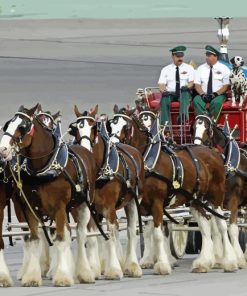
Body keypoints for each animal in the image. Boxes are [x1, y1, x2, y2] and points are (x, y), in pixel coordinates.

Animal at [0, 104, 97, 286]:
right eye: (7, 125)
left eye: (22, 126)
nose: (3, 149)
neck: (44, 168)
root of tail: (84, 150)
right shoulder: (30, 208)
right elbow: (34, 239)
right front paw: (32, 276)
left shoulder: (59, 207)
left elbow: (60, 239)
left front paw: (62, 276)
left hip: (82, 205)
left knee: (81, 235)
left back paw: (84, 273)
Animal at [69, 104, 146, 280]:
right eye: (75, 129)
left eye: (94, 128)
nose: (84, 149)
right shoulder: (85, 207)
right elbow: (91, 235)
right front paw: (92, 268)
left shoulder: (108, 206)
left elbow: (110, 234)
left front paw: (114, 269)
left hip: (133, 201)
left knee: (130, 231)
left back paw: (132, 265)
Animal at [110, 105, 239, 274]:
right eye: (110, 125)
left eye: (126, 126)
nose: (112, 146)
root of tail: (212, 152)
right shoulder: (141, 204)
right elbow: (144, 231)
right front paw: (142, 262)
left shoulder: (157, 202)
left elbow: (158, 233)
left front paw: (163, 264)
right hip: (195, 200)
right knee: (205, 225)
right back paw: (204, 262)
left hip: (216, 195)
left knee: (221, 225)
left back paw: (230, 261)